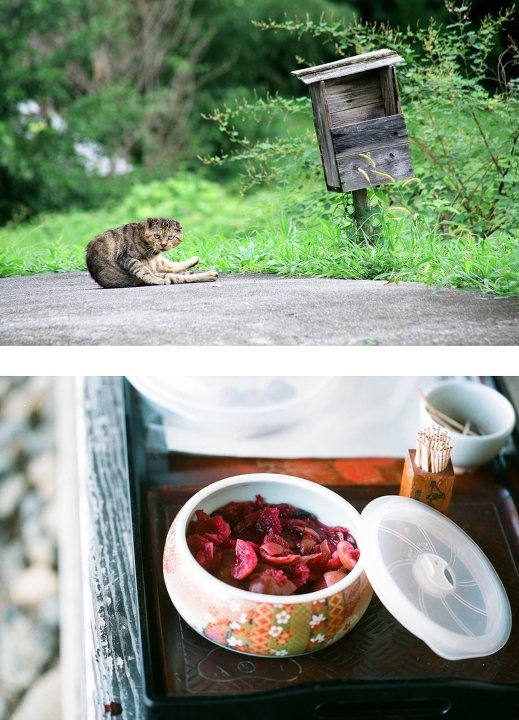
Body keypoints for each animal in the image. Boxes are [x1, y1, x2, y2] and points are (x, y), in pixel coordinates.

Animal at [86, 217, 216, 290]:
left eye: (170, 237)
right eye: (157, 236)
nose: (163, 245)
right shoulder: (126, 258)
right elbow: (143, 271)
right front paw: (156, 280)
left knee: (174, 268)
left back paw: (195, 260)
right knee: (180, 276)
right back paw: (210, 274)